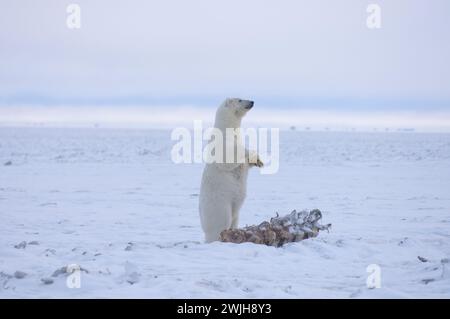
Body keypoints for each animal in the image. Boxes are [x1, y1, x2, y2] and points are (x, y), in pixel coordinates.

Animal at [198, 97, 264, 242]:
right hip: (219, 205)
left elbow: (246, 164)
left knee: (234, 219)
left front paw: (259, 161)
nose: (252, 101)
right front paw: (249, 151)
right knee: (221, 223)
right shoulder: (220, 143)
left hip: (234, 212)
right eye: (240, 99)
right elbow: (228, 156)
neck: (226, 129)